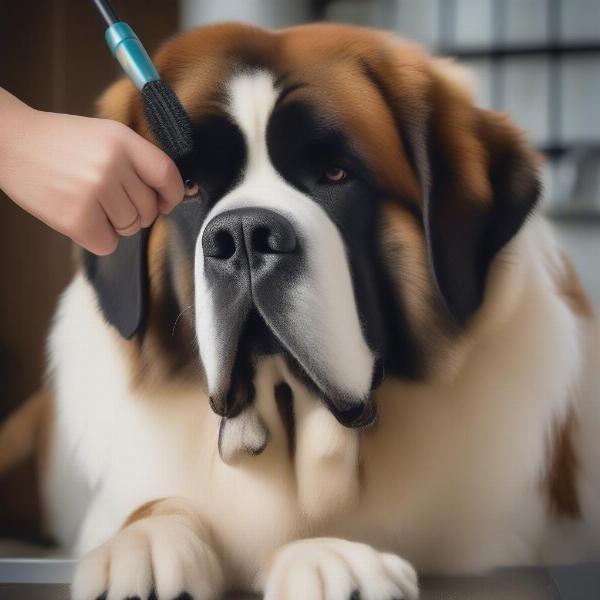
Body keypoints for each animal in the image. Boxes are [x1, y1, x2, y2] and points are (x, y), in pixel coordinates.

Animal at [1, 21, 600, 596]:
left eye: (335, 174)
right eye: (188, 187)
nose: (244, 235)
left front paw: (331, 559)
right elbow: (154, 504)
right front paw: (145, 546)